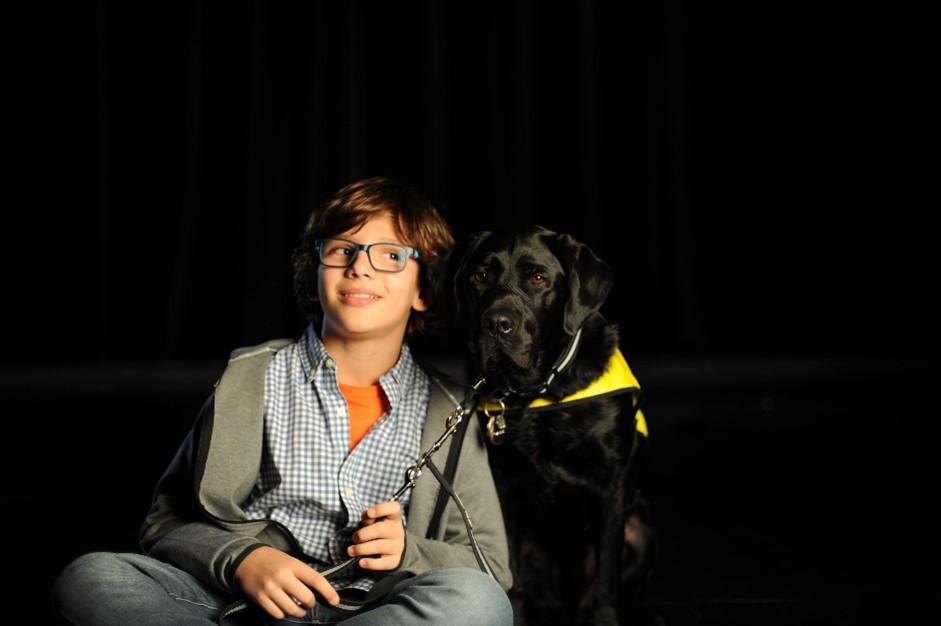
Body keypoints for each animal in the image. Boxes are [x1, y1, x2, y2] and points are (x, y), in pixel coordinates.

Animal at [440, 224, 652, 624]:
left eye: (538, 278)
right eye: (480, 277)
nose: (496, 324)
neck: (540, 391)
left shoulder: (611, 485)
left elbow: (606, 580)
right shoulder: (504, 485)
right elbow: (511, 572)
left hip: (640, 532)